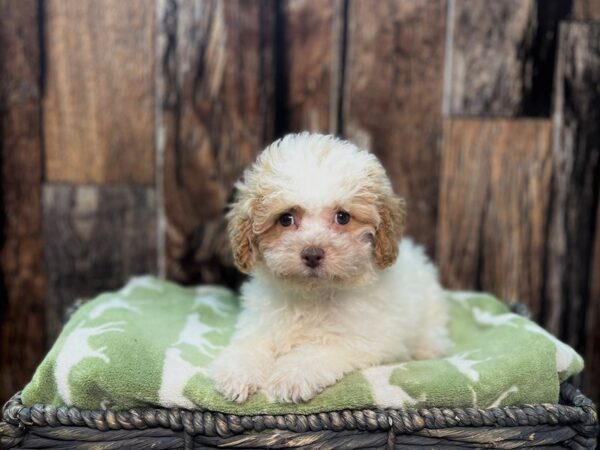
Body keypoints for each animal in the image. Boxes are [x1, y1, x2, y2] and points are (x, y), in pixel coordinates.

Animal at [211, 132, 450, 402]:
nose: (312, 253)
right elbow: (249, 346)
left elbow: (316, 352)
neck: (313, 296)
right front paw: (237, 374)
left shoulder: (355, 341)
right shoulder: (261, 326)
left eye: (342, 217)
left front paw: (291, 377)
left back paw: (426, 348)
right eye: (286, 219)